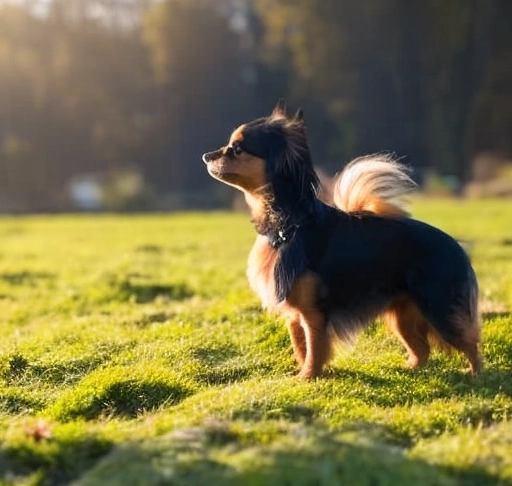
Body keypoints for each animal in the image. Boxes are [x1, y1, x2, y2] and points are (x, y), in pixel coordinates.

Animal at [202, 101, 482, 380]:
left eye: (237, 149)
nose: (206, 156)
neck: (286, 225)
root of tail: (459, 250)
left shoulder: (313, 313)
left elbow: (314, 348)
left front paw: (307, 378)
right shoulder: (295, 314)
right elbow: (300, 346)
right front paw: (303, 375)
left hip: (438, 307)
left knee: (470, 342)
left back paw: (475, 375)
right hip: (402, 314)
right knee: (422, 349)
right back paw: (410, 369)